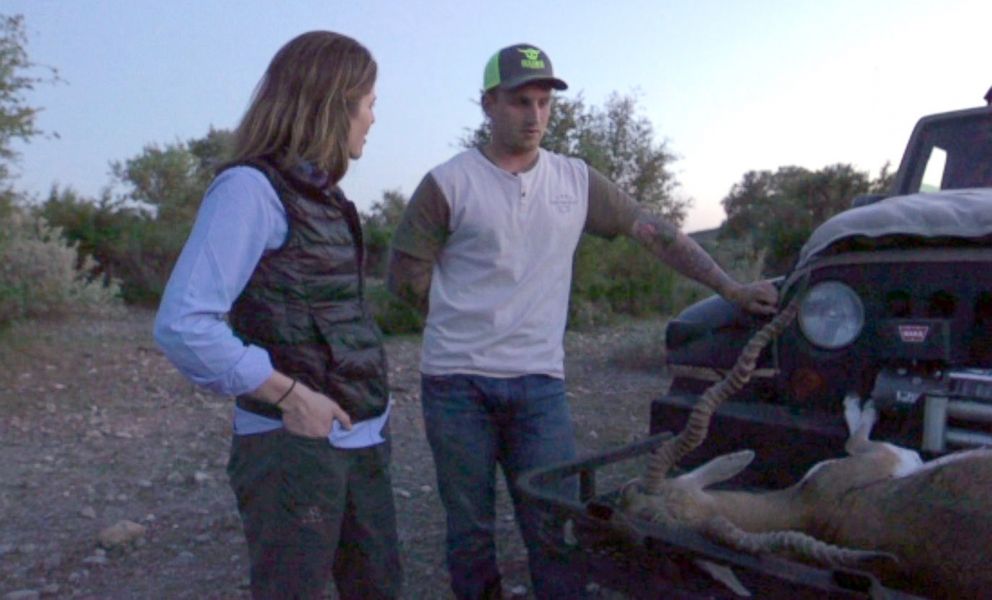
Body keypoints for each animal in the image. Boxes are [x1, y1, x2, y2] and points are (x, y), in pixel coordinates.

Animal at [620, 300, 992, 600]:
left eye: (636, 490)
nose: (622, 492)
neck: (804, 507)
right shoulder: (889, 456)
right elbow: (854, 439)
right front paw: (859, 403)